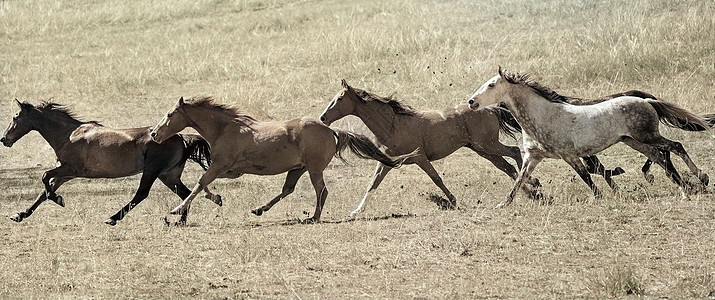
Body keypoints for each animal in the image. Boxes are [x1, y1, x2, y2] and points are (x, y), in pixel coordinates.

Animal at [1, 100, 218, 225]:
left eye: (15, 116)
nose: (4, 139)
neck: (68, 134)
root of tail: (180, 137)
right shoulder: (66, 174)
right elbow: (43, 192)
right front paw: (20, 215)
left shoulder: (70, 169)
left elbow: (45, 178)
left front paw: (59, 200)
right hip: (168, 175)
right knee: (185, 193)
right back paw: (181, 220)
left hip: (152, 171)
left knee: (141, 194)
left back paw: (112, 218)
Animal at [150, 95, 414, 224]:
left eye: (170, 114)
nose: (154, 133)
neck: (226, 128)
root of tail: (333, 131)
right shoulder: (229, 169)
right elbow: (204, 184)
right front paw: (217, 198)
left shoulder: (221, 165)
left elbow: (200, 183)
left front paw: (176, 210)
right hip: (297, 169)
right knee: (288, 189)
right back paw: (259, 210)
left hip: (314, 169)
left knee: (321, 190)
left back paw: (313, 218)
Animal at [470, 67, 712, 209]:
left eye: (491, 85)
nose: (471, 102)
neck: (542, 116)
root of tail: (647, 101)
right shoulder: (533, 157)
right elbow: (519, 180)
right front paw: (504, 204)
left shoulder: (570, 155)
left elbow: (586, 176)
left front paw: (599, 196)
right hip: (634, 141)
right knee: (660, 157)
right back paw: (683, 187)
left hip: (647, 136)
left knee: (674, 147)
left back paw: (699, 179)